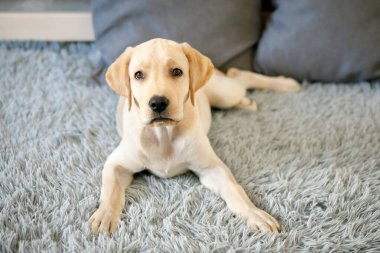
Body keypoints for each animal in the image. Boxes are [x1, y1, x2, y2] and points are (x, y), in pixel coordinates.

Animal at [89, 38, 300, 235]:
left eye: (176, 71)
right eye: (138, 75)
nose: (158, 103)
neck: (164, 134)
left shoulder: (212, 168)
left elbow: (235, 190)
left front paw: (254, 213)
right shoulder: (116, 163)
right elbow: (110, 189)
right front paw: (105, 215)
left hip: (224, 93)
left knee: (238, 76)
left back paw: (285, 83)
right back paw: (248, 102)